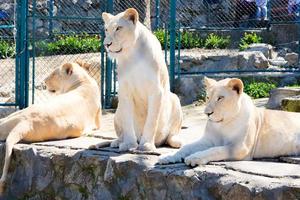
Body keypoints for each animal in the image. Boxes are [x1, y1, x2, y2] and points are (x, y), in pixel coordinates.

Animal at [161, 77, 300, 166]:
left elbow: (216, 150)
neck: (222, 124)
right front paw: (168, 157)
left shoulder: (240, 148)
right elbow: (186, 147)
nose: (207, 113)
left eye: (220, 98)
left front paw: (194, 157)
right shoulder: (208, 141)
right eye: (208, 97)